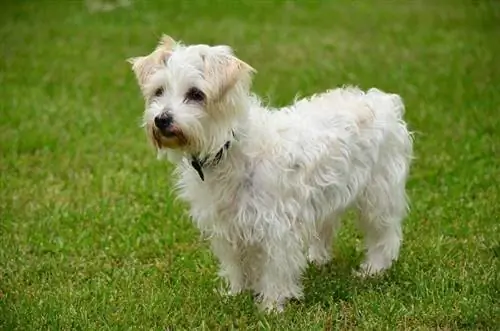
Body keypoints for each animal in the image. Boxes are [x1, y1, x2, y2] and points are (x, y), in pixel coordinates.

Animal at [128, 36, 414, 314]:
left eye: (196, 94)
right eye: (158, 91)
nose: (162, 119)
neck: (228, 148)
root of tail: (384, 102)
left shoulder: (276, 227)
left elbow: (276, 268)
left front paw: (271, 306)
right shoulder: (228, 225)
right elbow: (236, 264)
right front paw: (236, 293)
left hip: (379, 194)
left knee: (385, 234)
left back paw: (373, 270)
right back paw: (318, 258)